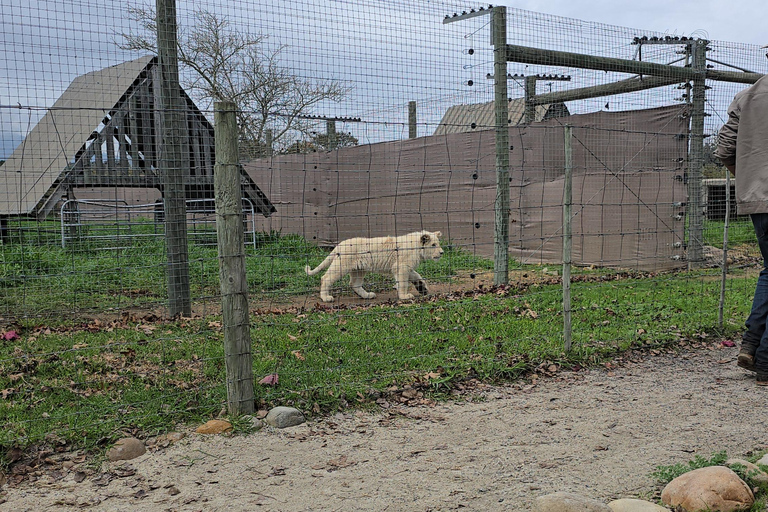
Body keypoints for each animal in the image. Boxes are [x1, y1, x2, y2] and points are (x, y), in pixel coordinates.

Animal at [305, 230, 444, 303]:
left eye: (438, 243)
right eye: (433, 245)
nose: (442, 252)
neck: (418, 248)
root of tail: (340, 244)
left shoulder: (405, 267)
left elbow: (416, 276)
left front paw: (422, 289)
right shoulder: (401, 266)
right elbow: (403, 283)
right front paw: (404, 296)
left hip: (359, 269)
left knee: (354, 284)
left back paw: (367, 295)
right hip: (341, 266)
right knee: (325, 278)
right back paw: (326, 297)